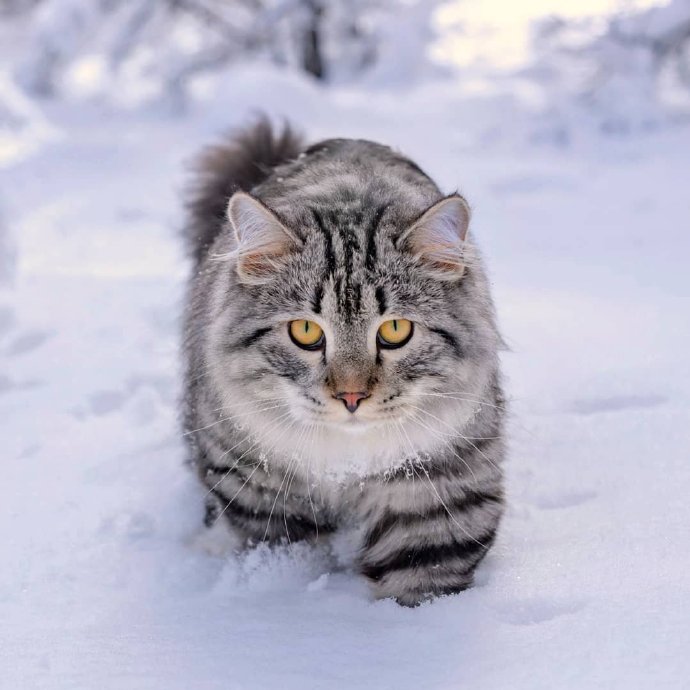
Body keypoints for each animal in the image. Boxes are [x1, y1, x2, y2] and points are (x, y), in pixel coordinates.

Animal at [181, 117, 506, 600]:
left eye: (395, 330)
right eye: (305, 332)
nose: (351, 397)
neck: (345, 466)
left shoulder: (437, 492)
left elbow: (419, 585)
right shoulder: (261, 488)